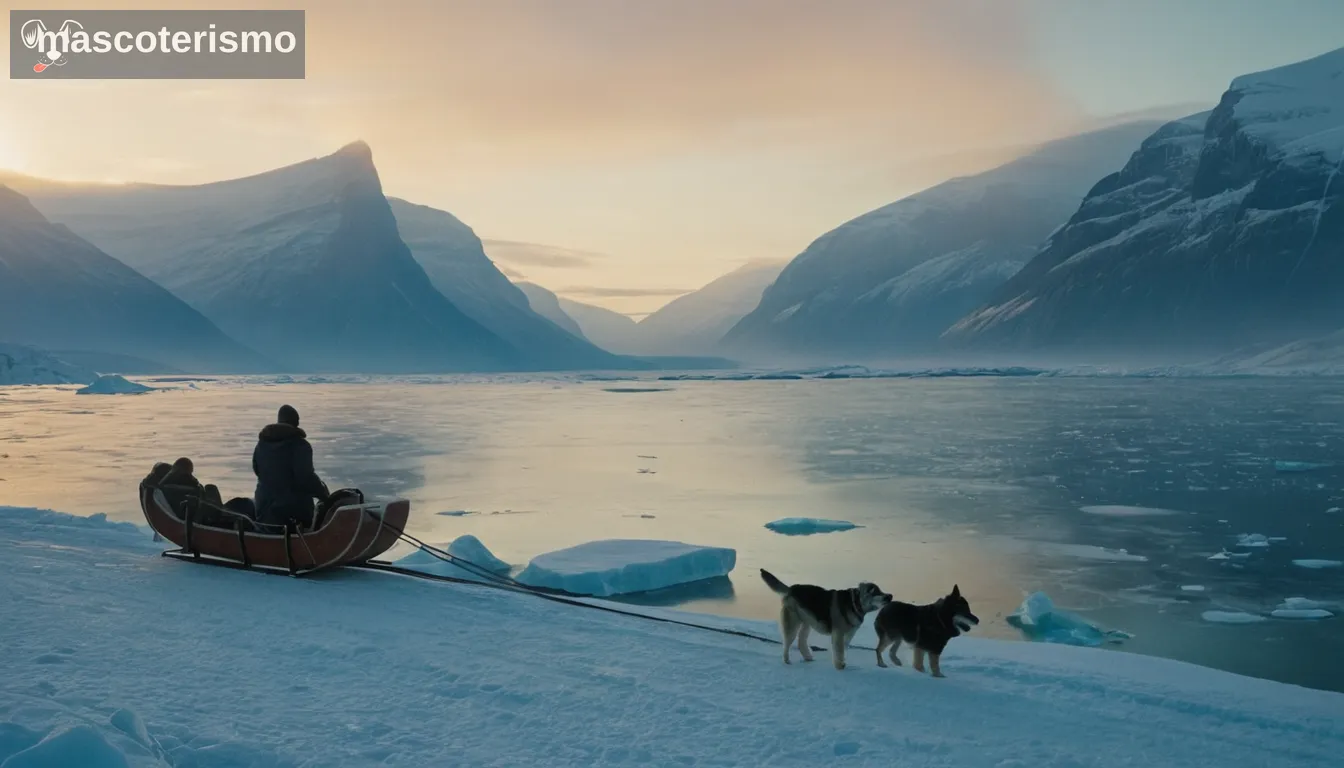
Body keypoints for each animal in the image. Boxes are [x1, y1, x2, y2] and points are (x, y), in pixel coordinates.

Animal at [758, 567, 892, 669]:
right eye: (875, 591)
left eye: (880, 590)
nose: (890, 595)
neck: (855, 603)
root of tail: (791, 588)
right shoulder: (838, 634)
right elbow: (839, 651)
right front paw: (839, 666)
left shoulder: (849, 635)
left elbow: (844, 650)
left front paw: (842, 662)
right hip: (793, 623)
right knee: (786, 643)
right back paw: (787, 660)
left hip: (807, 623)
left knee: (801, 642)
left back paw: (808, 657)